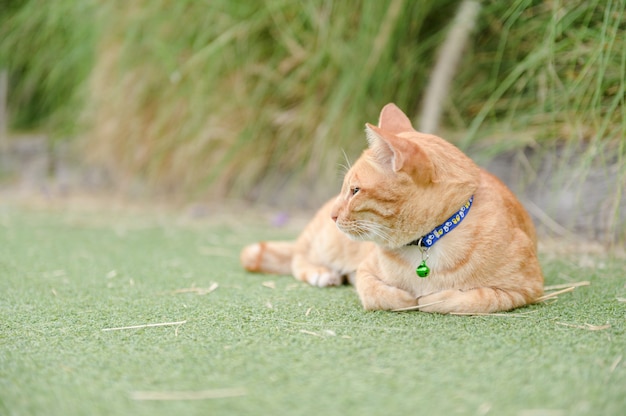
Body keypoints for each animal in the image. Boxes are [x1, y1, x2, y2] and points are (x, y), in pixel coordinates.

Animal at [239, 103, 540, 312]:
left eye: (355, 191)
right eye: (346, 188)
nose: (334, 215)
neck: (429, 242)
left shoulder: (526, 288)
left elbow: (468, 299)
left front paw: (431, 296)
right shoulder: (365, 273)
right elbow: (379, 294)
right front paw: (407, 297)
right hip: (329, 244)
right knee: (297, 257)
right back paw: (321, 273)